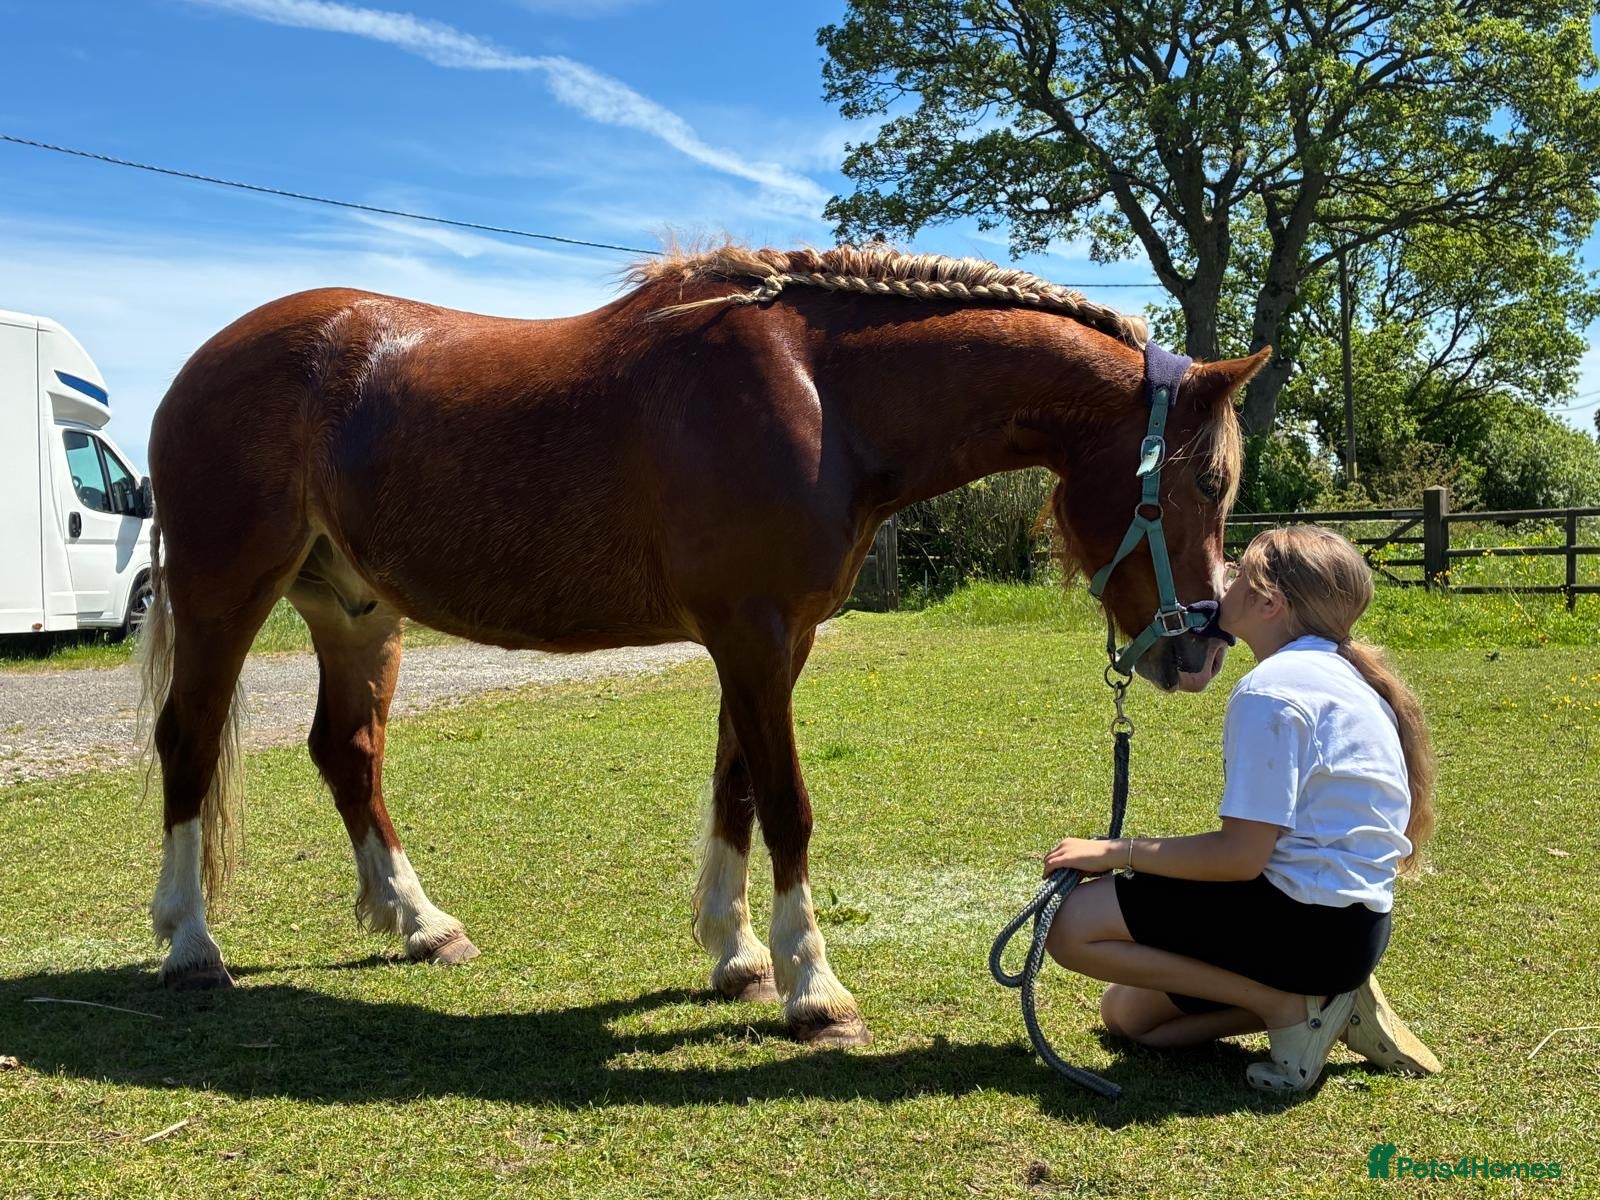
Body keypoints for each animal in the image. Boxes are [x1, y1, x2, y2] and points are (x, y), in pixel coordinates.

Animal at [137, 243, 1264, 1047]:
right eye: (1206, 481)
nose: (1200, 651)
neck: (819, 392)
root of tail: (202, 362)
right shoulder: (752, 634)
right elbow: (789, 804)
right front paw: (814, 987)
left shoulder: (771, 640)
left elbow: (737, 791)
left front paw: (738, 956)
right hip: (225, 591)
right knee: (187, 742)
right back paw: (192, 945)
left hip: (356, 612)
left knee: (348, 752)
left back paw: (418, 922)